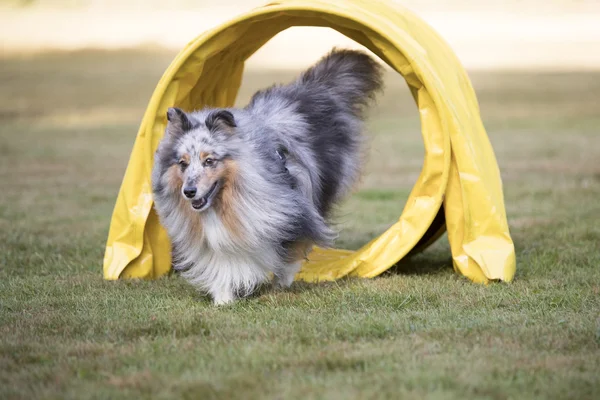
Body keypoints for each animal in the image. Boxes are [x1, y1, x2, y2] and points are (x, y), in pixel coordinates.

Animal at [152, 47, 382, 304]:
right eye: (182, 163)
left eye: (209, 161)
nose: (189, 192)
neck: (225, 203)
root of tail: (312, 90)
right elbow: (223, 261)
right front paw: (223, 298)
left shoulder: (294, 212)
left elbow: (291, 253)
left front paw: (280, 284)